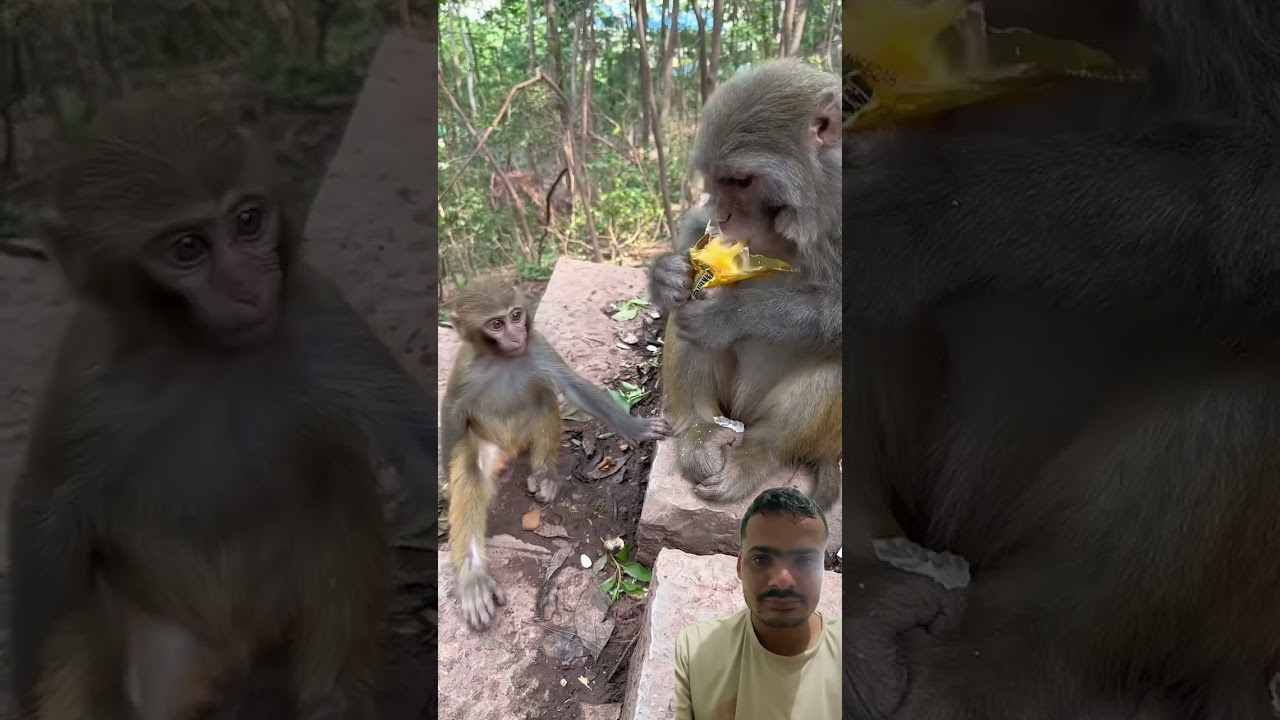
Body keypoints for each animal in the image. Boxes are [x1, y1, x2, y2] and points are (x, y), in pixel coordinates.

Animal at [7, 93, 436, 719]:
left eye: (248, 221)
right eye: (188, 248)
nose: (249, 285)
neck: (203, 352)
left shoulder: (317, 314)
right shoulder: (87, 380)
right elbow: (45, 519)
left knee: (337, 475)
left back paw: (332, 699)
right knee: (81, 622)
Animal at [439, 278, 670, 632]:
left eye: (516, 315)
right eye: (496, 324)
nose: (516, 335)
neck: (501, 358)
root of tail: (510, 448)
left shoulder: (537, 346)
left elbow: (572, 386)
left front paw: (635, 426)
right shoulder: (465, 370)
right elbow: (452, 414)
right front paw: (443, 481)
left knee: (544, 394)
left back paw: (544, 474)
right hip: (485, 444)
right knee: (471, 473)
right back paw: (473, 577)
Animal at [647, 59, 843, 512]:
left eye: (741, 182)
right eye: (717, 181)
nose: (722, 213)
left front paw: (732, 315)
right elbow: (696, 233)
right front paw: (665, 275)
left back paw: (758, 455)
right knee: (687, 311)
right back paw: (698, 430)